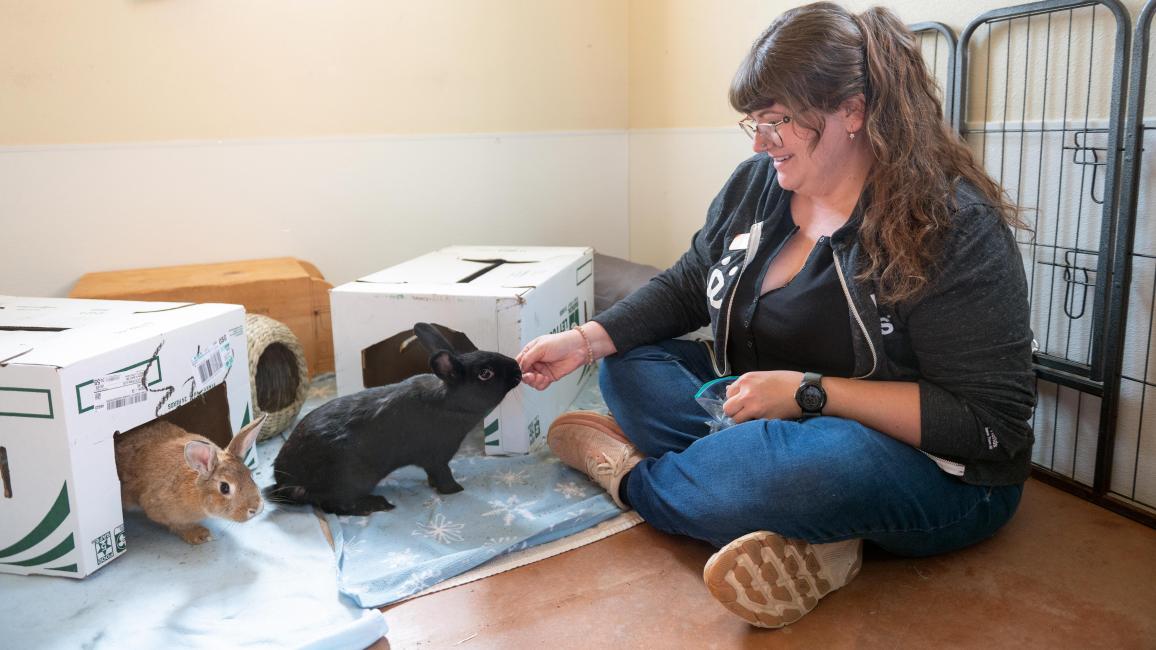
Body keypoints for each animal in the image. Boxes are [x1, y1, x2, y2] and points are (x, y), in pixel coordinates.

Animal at [115, 413, 267, 544]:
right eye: (224, 488)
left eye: (250, 476)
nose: (256, 508)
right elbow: (177, 525)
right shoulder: (160, 509)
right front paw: (200, 535)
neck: (197, 491)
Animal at [269, 322, 522, 516]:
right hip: (351, 478)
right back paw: (378, 504)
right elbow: (442, 473)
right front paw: (455, 489)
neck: (448, 400)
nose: (518, 369)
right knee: (336, 505)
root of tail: (287, 479)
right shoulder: (436, 456)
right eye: (485, 373)